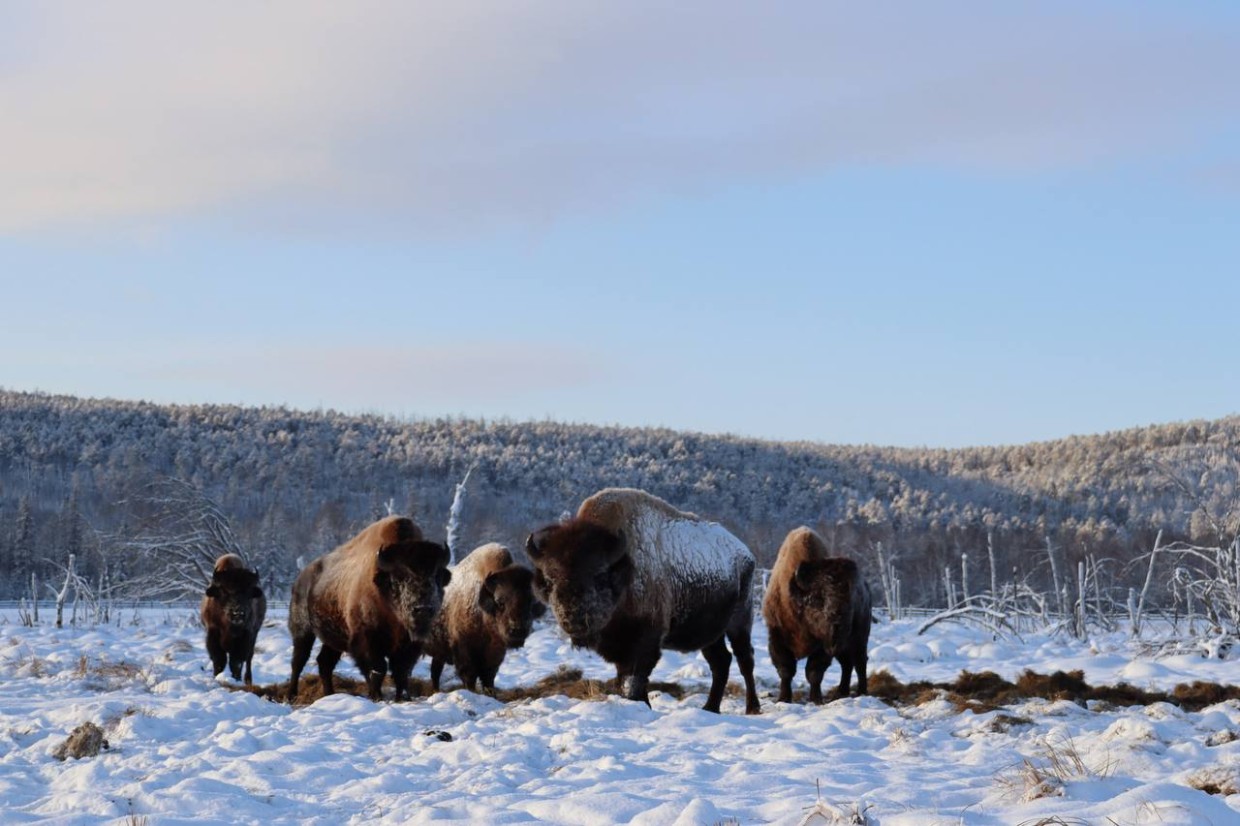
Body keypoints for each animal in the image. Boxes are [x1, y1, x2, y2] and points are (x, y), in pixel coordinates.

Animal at [200, 555, 266, 684]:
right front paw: (217, 677)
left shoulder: (245, 636)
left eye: (249, 592)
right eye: (224, 591)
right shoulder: (213, 633)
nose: (238, 612)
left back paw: (248, 680)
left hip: (255, 633)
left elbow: (236, 662)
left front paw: (236, 679)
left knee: (249, 658)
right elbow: (219, 660)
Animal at [285, 515, 451, 699]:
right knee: (299, 660)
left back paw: (330, 694)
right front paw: (376, 696)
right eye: (399, 577)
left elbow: (401, 671)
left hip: (334, 639)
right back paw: (291, 694)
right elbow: (377, 670)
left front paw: (402, 697)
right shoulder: (366, 640)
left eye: (436, 576)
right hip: (303, 630)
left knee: (324, 662)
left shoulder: (410, 645)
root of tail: (301, 579)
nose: (423, 609)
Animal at [426, 540, 543, 694]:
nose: (518, 630)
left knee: (435, 672)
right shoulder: (464, 652)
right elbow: (469, 676)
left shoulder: (495, 654)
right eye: (500, 601)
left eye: (530, 600)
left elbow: (489, 677)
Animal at [520, 486, 753, 709]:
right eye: (550, 580)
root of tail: (745, 552)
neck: (623, 566)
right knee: (721, 661)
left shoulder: (645, 640)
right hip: (710, 634)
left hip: (739, 622)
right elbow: (624, 678)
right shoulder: (620, 647)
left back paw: (751, 708)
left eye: (599, 575)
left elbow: (636, 679)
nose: (572, 619)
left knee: (744, 659)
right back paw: (710, 708)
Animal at [758, 528, 877, 699]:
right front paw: (784, 698)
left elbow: (814, 672)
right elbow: (786, 670)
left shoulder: (823, 646)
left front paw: (816, 699)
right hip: (845, 646)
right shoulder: (776, 635)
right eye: (818, 598)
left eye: (851, 600)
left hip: (858, 639)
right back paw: (842, 692)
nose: (838, 627)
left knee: (860, 663)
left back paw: (861, 692)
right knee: (847, 664)